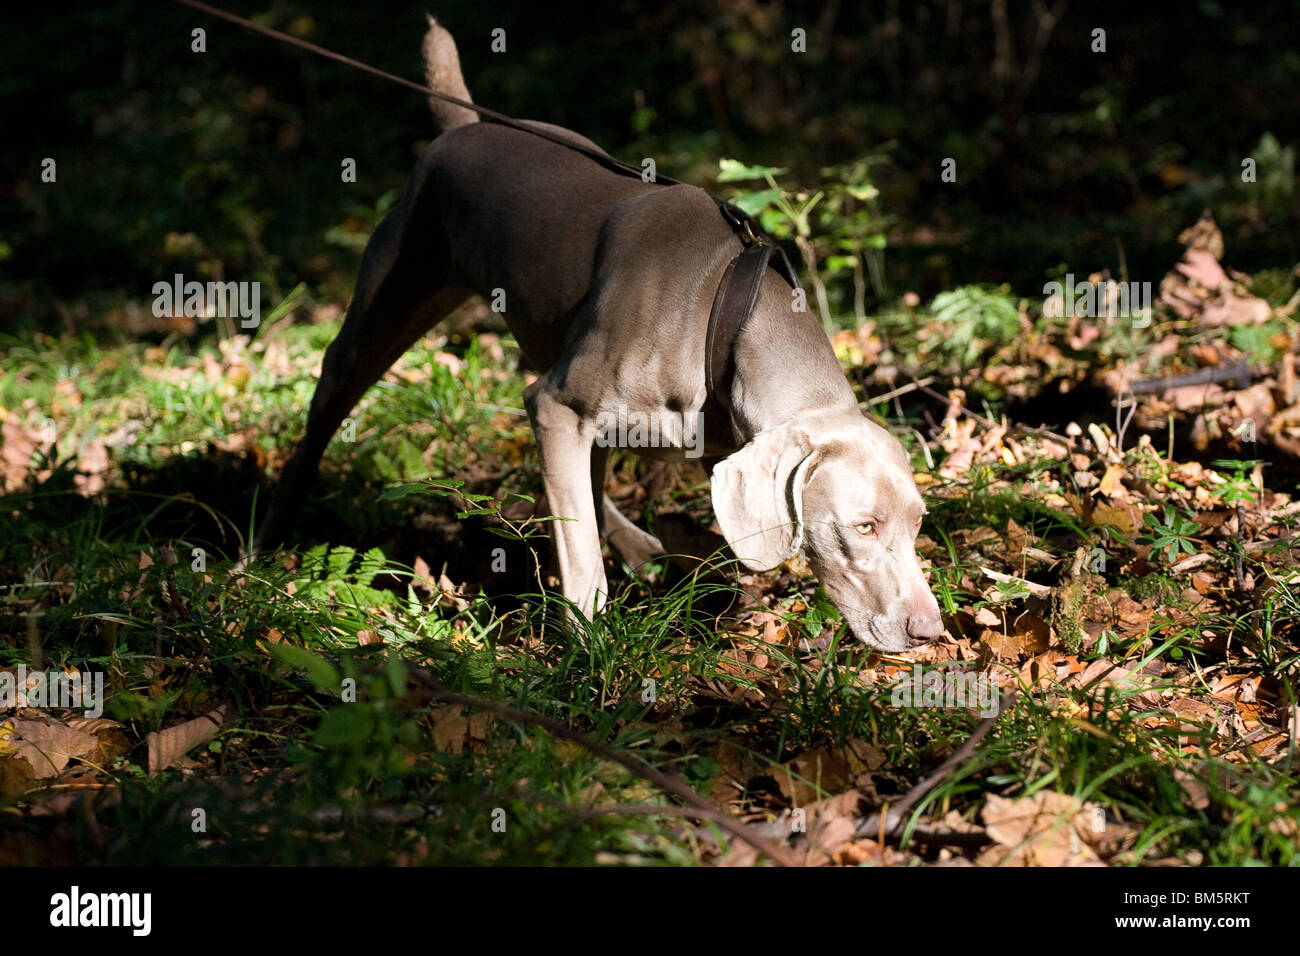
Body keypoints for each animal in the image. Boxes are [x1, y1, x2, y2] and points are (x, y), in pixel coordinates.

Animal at [253, 18, 946, 655]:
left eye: (919, 524)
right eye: (863, 527)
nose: (932, 632)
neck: (722, 314)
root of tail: (462, 127)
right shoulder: (556, 405)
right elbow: (579, 547)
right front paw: (588, 645)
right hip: (379, 321)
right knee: (325, 414)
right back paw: (261, 549)